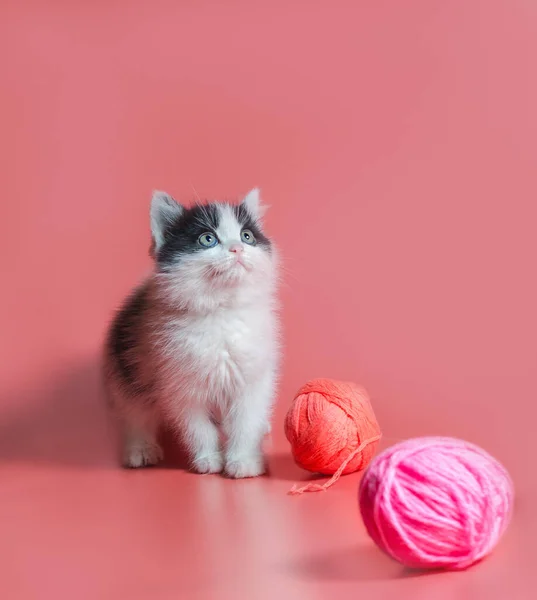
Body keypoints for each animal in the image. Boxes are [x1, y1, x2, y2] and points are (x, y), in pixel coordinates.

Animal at [104, 188, 280, 478]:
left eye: (247, 236)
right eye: (208, 239)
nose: (238, 248)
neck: (221, 312)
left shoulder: (252, 377)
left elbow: (245, 420)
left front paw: (243, 461)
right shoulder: (178, 381)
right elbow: (197, 426)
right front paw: (208, 459)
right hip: (127, 371)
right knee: (135, 412)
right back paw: (140, 449)